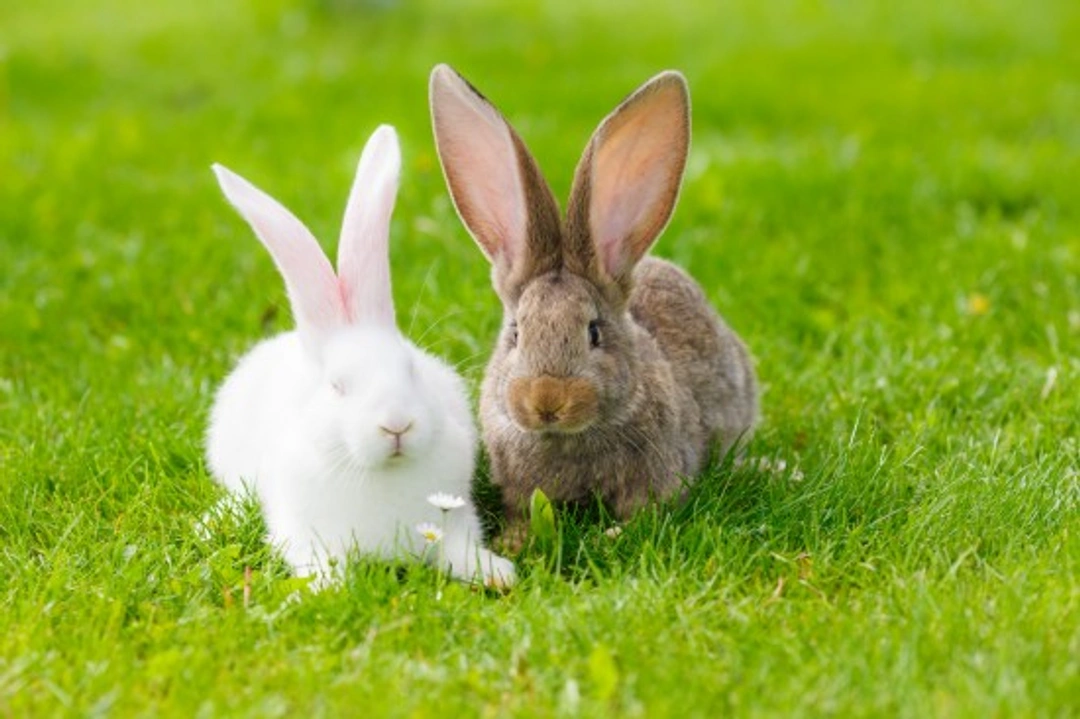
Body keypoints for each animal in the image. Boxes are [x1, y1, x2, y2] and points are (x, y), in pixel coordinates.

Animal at [205, 125, 514, 588]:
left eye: (411, 369)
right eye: (337, 386)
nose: (396, 425)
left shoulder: (455, 521)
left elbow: (460, 549)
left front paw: (498, 573)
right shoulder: (305, 533)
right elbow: (321, 563)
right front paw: (324, 588)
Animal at [429, 65, 758, 540]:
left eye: (594, 332)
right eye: (516, 334)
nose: (547, 400)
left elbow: (645, 512)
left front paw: (611, 537)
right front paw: (514, 541)